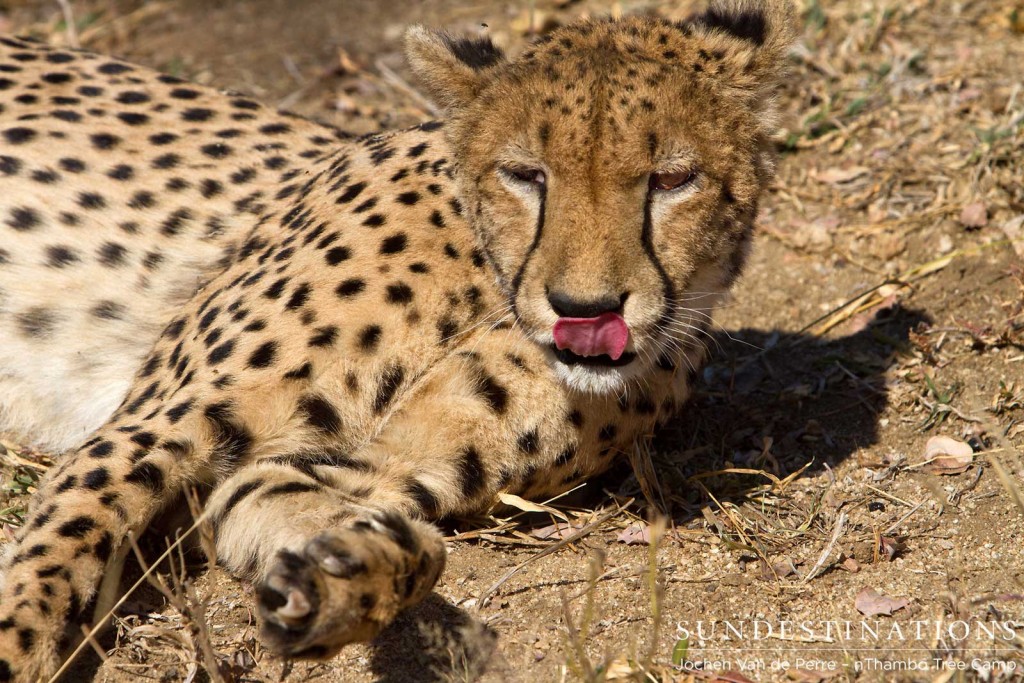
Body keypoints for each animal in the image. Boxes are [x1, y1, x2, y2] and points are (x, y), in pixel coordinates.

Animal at [0, 1, 794, 679]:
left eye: (673, 179)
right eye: (525, 174)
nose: (586, 308)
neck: (482, 277)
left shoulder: (341, 470)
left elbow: (367, 528)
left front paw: (346, 581)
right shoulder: (149, 427)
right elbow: (49, 566)